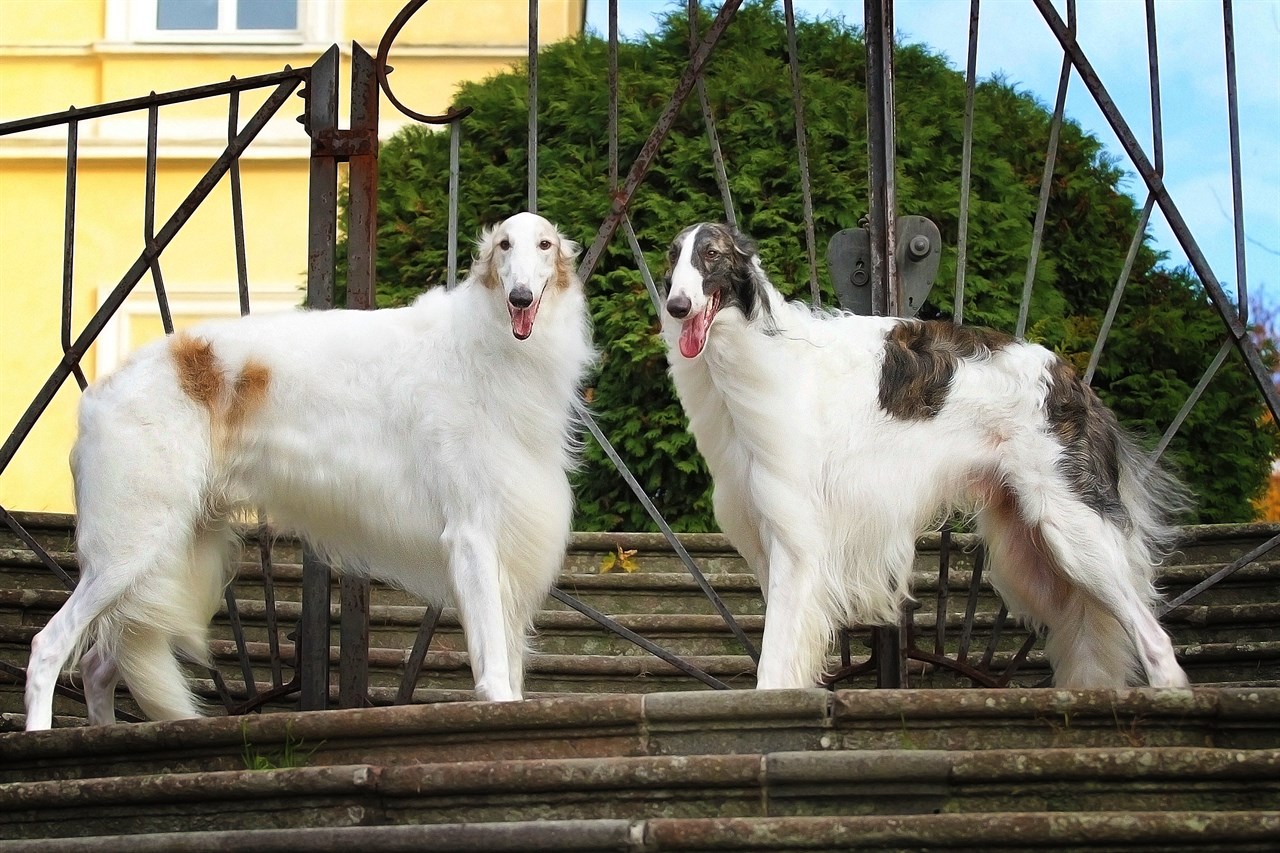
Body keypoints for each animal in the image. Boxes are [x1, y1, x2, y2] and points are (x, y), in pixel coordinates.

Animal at [24, 211, 593, 722]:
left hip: (169, 556)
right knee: (48, 647)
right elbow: (496, 669)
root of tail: (102, 393)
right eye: (504, 245)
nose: (521, 298)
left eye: (545, 245)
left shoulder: (507, 540)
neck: (487, 346)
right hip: (131, 543)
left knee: (98, 665)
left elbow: (511, 662)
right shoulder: (471, 533)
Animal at [660, 222, 1187, 686]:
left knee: (1154, 637)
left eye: (711, 254)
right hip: (1032, 551)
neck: (762, 351)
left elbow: (775, 660)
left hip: (1073, 529)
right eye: (672, 256)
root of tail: (1073, 379)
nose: (677, 306)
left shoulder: (795, 536)